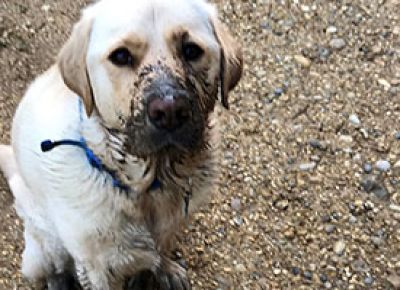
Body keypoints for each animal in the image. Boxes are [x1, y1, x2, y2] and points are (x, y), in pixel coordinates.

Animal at [0, 0, 241, 288]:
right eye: (121, 56)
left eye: (192, 50)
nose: (170, 110)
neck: (149, 185)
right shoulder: (97, 268)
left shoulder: (173, 224)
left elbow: (162, 248)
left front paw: (165, 269)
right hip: (46, 246)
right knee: (53, 269)